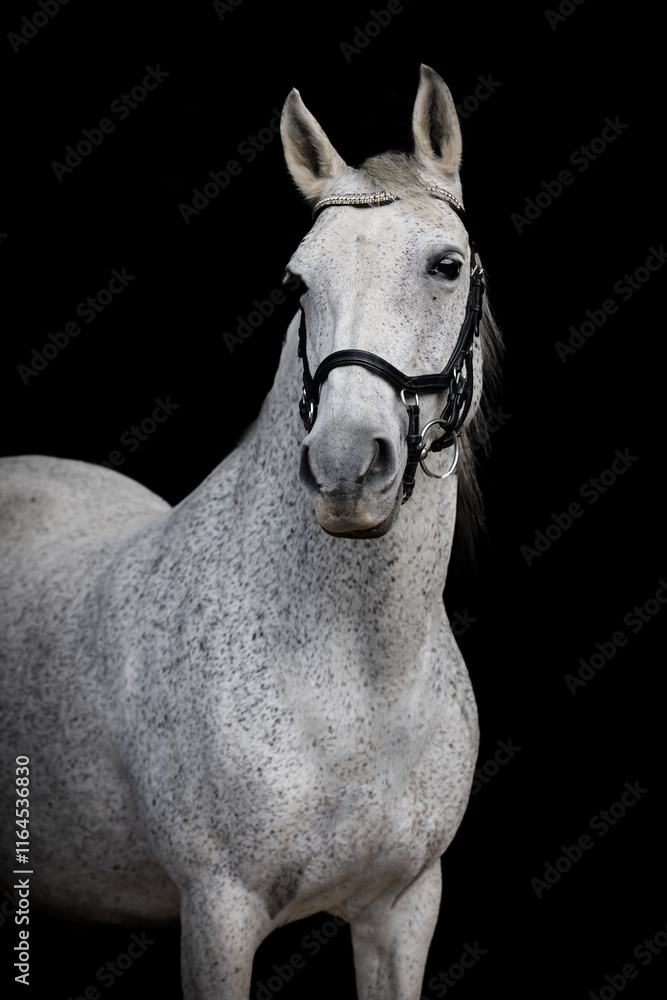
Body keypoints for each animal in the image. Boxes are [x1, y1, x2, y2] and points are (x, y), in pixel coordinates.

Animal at [0, 65, 502, 999]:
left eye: (445, 266)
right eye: (297, 284)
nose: (345, 467)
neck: (363, 675)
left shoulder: (403, 909)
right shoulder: (219, 914)